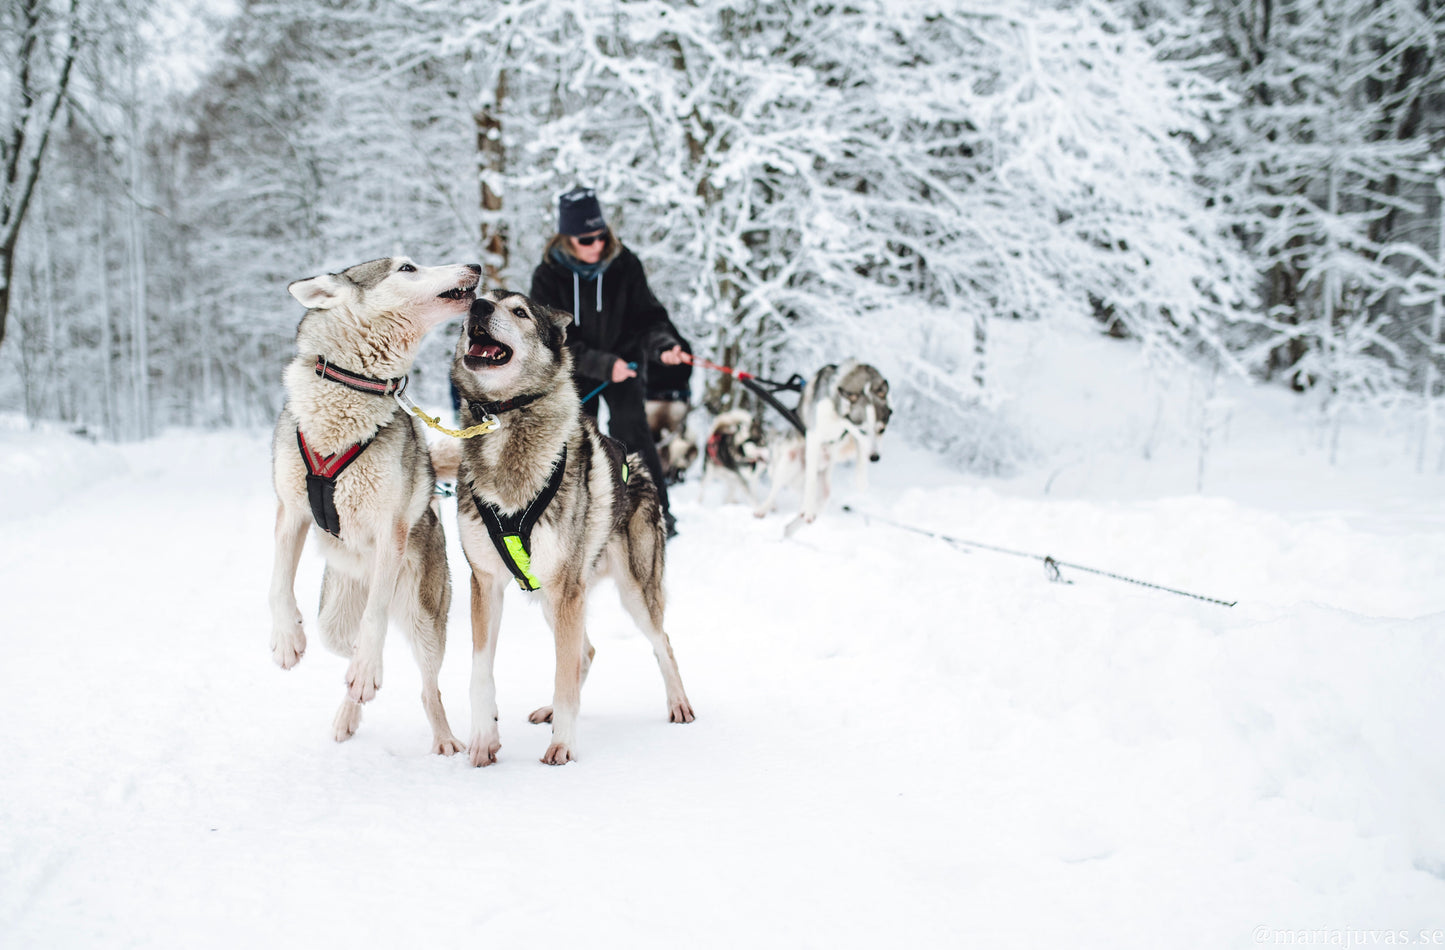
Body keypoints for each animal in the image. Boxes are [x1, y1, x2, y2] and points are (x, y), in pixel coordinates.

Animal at [268, 255, 476, 751]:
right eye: (408, 267)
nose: (475, 265)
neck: (354, 388)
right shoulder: (290, 511)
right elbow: (278, 583)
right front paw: (286, 637)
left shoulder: (390, 531)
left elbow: (375, 621)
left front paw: (366, 672)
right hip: (334, 616)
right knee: (344, 644)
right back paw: (348, 712)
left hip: (424, 617)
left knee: (425, 684)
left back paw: (441, 736)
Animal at [450, 287, 699, 763]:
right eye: (482, 297)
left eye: (520, 311)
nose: (477, 307)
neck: (504, 420)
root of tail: (640, 463)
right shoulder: (485, 583)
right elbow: (479, 673)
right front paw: (484, 740)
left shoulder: (567, 590)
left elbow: (563, 675)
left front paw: (563, 745)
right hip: (553, 596)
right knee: (586, 651)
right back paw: (550, 711)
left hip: (627, 591)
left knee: (662, 643)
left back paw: (678, 703)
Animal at [757, 361, 890, 529]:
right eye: (863, 430)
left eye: (882, 429)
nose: (875, 457)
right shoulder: (815, 435)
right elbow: (811, 481)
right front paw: (808, 509)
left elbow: (860, 451)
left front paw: (861, 479)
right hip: (788, 464)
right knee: (777, 489)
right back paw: (766, 509)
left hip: (823, 488)